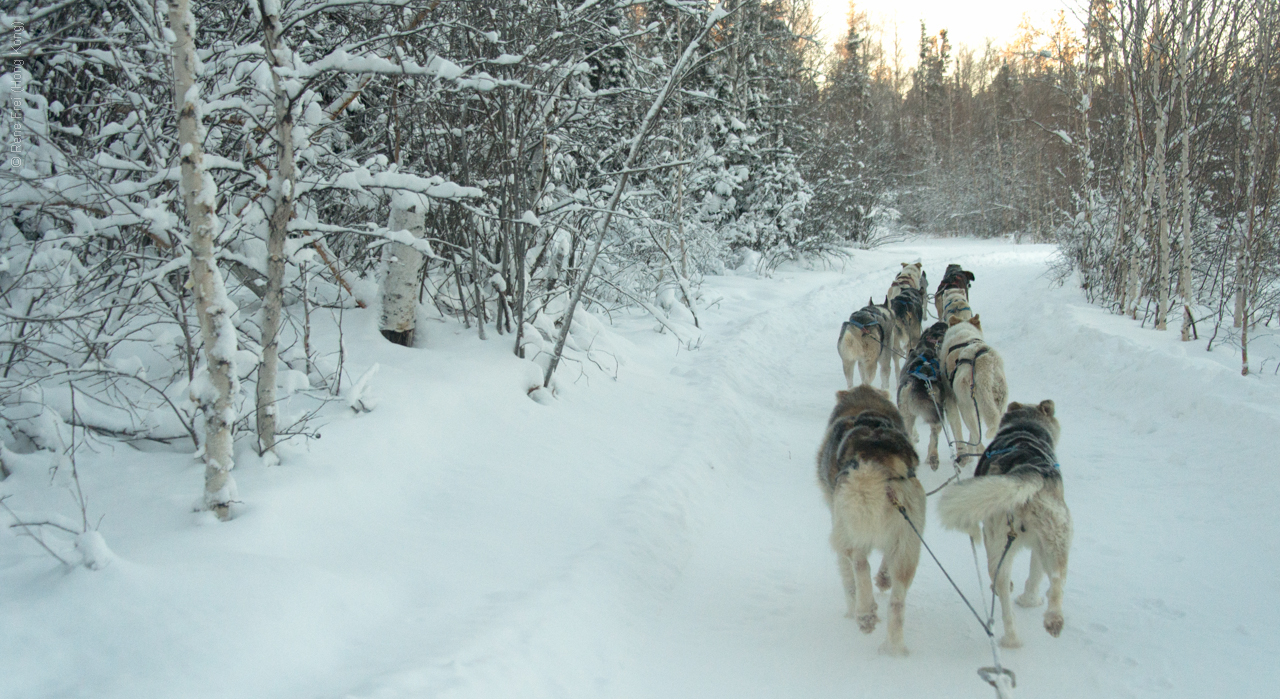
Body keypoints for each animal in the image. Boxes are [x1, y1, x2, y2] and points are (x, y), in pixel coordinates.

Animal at [819, 384, 921, 655]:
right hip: (908, 546)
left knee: (859, 564)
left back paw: (864, 614)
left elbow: (848, 579)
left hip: (847, 529)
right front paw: (883, 579)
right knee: (897, 600)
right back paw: (893, 647)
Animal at [936, 399, 1075, 645]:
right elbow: (1035, 575)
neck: (1026, 429)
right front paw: (1030, 600)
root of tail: (1029, 471)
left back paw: (1010, 638)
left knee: (1003, 597)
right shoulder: (1039, 548)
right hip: (1055, 542)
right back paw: (1052, 620)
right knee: (1056, 583)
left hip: (999, 545)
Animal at [942, 313, 1008, 455]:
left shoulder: (952, 402)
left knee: (979, 442)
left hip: (966, 408)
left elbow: (957, 429)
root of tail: (985, 362)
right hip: (995, 406)